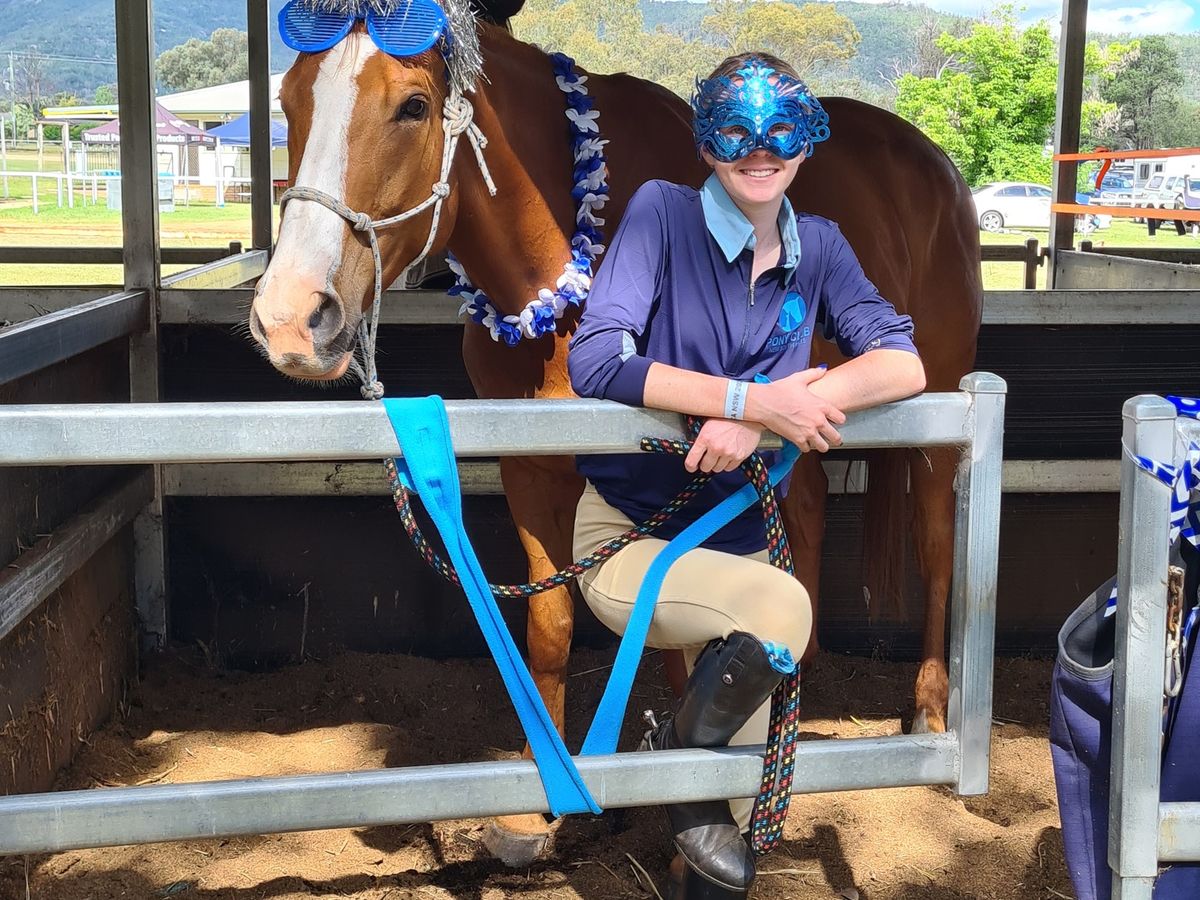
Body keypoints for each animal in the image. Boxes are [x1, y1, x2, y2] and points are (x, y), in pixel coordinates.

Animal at [248, 0, 981, 865]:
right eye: (288, 102)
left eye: (414, 107)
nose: (291, 318)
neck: (565, 270)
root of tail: (931, 163)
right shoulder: (533, 470)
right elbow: (553, 628)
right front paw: (534, 817)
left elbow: (676, 632)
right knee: (801, 523)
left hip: (938, 415)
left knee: (936, 547)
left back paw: (929, 712)